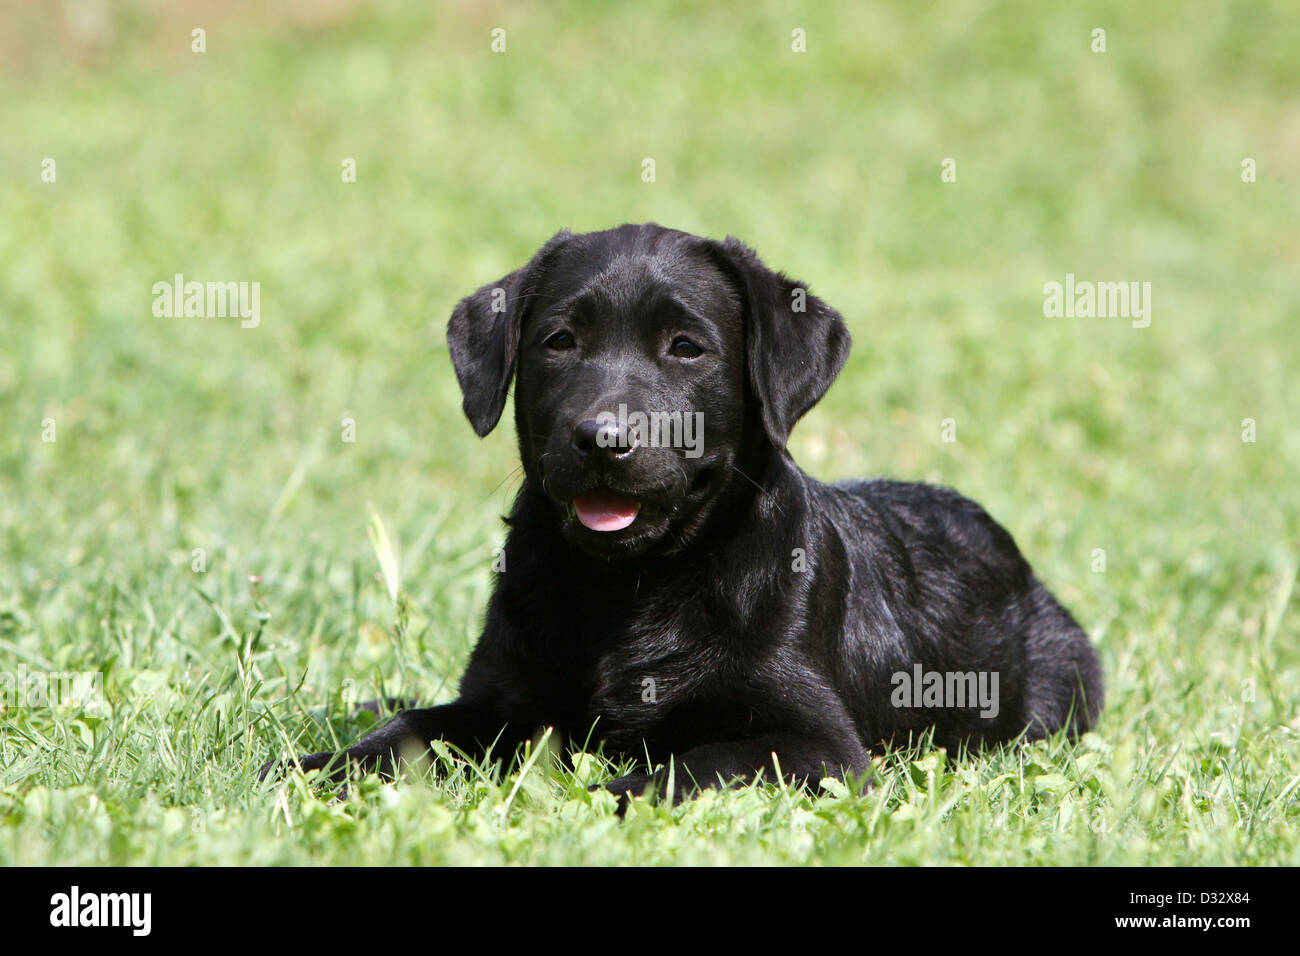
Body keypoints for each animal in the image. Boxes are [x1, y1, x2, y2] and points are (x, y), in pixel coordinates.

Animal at [258, 222, 1102, 801]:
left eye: (686, 347)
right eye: (559, 341)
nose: (603, 438)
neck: (630, 590)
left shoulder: (817, 743)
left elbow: (692, 764)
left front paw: (596, 797)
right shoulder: (500, 701)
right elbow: (411, 732)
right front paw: (315, 766)